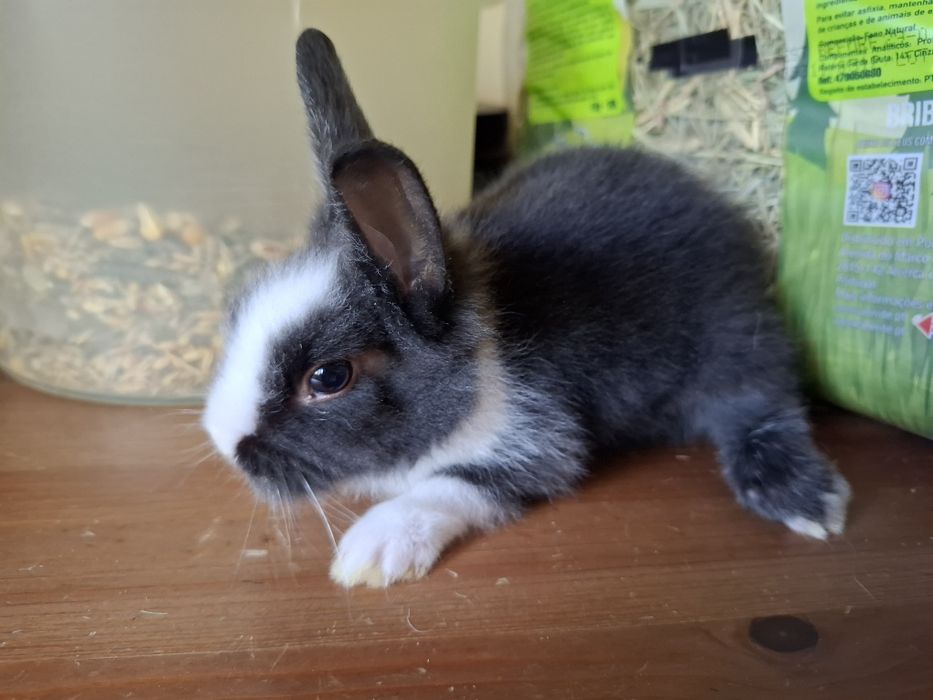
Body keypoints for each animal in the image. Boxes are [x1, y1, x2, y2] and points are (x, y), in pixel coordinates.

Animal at [202, 29, 851, 588]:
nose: (226, 444)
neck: (479, 359)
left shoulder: (539, 441)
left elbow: (450, 485)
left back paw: (807, 502)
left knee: (761, 405)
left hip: (734, 341)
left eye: (328, 378)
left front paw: (372, 550)